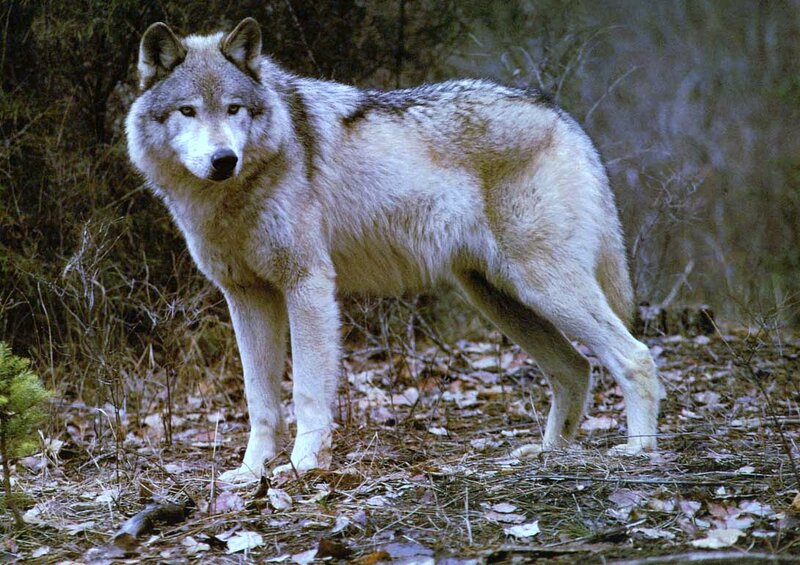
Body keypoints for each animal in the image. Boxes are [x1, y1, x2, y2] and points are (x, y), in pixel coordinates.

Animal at [126, 18, 665, 482]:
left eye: (233, 109)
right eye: (188, 111)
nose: (224, 159)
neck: (231, 197)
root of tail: (562, 116)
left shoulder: (308, 285)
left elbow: (306, 393)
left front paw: (303, 465)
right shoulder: (247, 298)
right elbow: (260, 403)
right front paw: (250, 472)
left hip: (544, 289)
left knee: (635, 356)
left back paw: (638, 451)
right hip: (500, 300)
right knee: (575, 369)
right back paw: (551, 454)